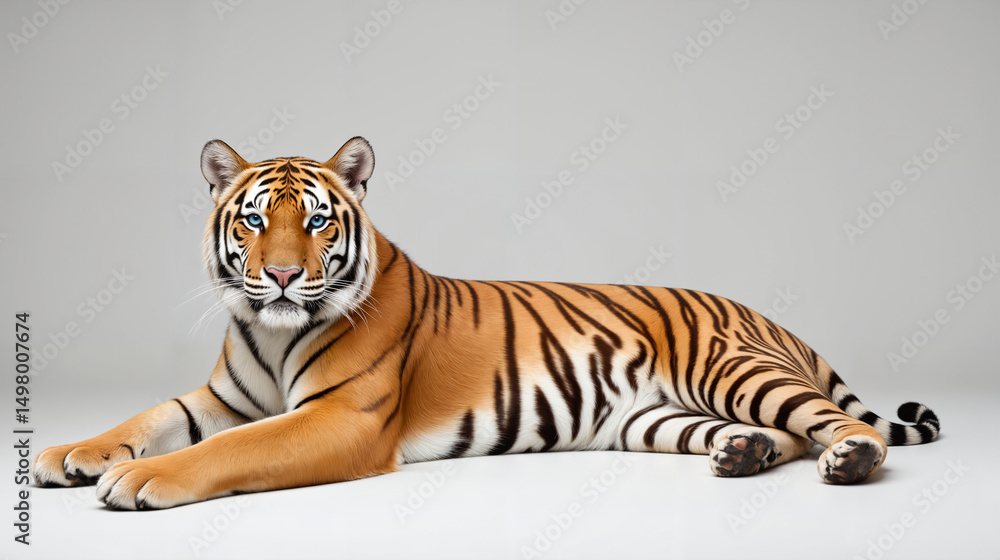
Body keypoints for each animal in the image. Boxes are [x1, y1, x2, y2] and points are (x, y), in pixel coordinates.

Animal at [32, 136, 940, 510]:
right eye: (256, 220)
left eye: (318, 221)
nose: (284, 275)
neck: (273, 326)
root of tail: (765, 314)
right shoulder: (223, 396)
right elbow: (150, 416)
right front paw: (69, 454)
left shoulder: (343, 418)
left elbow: (225, 451)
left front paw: (138, 481)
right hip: (657, 418)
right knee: (778, 434)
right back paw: (744, 455)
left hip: (729, 369)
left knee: (840, 427)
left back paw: (850, 462)